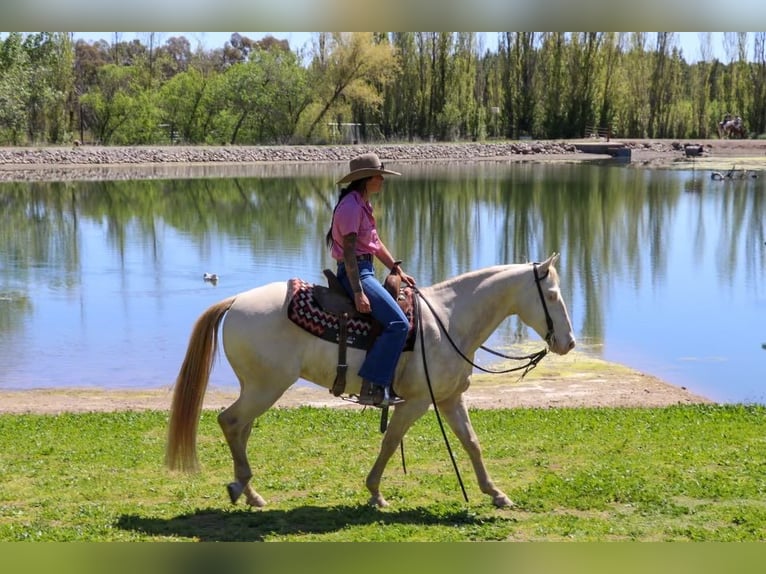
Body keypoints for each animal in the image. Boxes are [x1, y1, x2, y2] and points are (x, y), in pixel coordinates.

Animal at [166, 252, 576, 508]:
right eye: (553, 294)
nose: (569, 342)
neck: (447, 319)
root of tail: (234, 302)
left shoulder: (448, 399)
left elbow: (472, 444)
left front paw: (496, 493)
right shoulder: (417, 401)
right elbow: (391, 441)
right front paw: (376, 493)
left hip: (257, 388)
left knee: (241, 428)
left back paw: (248, 491)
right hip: (267, 388)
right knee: (230, 421)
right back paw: (243, 487)